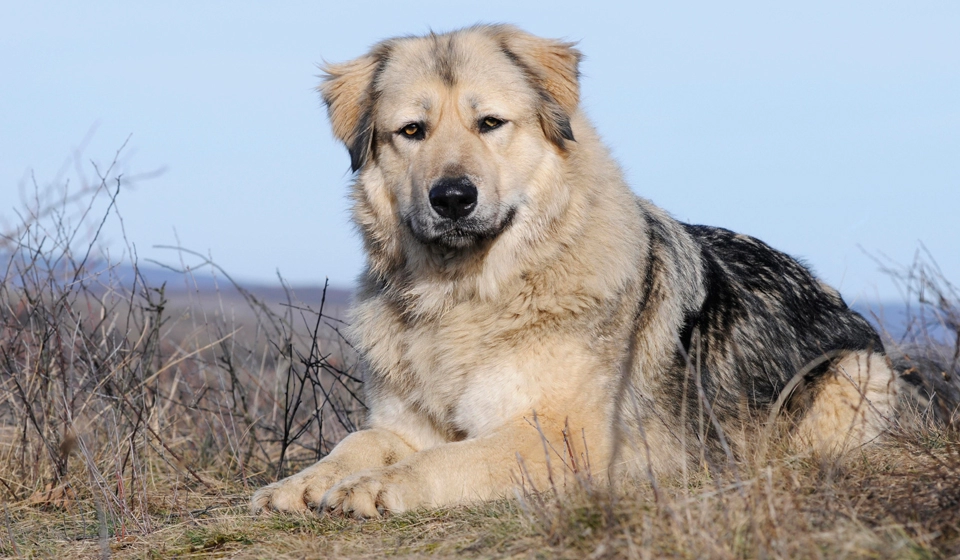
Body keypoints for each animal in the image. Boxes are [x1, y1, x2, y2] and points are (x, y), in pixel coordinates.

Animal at [249, 25, 900, 516]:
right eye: (412, 131)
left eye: (490, 124)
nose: (453, 197)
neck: (463, 299)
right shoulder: (404, 423)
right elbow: (361, 439)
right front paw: (301, 482)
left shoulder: (566, 438)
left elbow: (450, 457)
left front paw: (379, 486)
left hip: (861, 373)